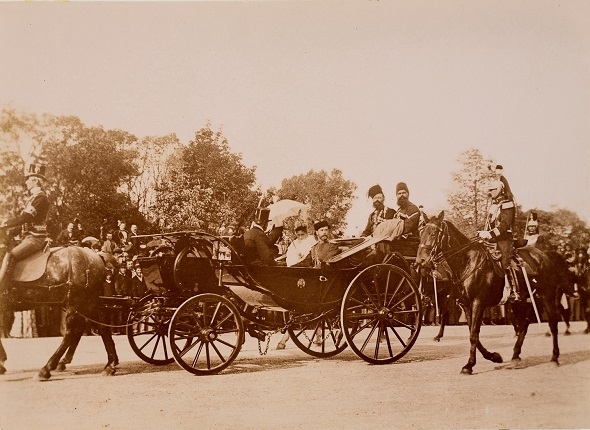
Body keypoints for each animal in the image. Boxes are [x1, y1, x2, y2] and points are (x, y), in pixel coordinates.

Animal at [0, 245, 120, 380]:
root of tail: (96, 256)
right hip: (87, 304)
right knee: (100, 327)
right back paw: (110, 365)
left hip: (75, 303)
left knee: (70, 333)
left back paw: (46, 369)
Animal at [416, 213, 572, 374]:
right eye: (421, 233)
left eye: (433, 233)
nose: (420, 261)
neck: (467, 261)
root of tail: (545, 255)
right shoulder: (466, 305)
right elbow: (473, 333)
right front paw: (494, 356)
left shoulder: (478, 303)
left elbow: (474, 334)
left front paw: (469, 365)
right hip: (521, 301)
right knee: (524, 324)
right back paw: (515, 355)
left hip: (546, 297)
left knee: (553, 323)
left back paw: (554, 358)